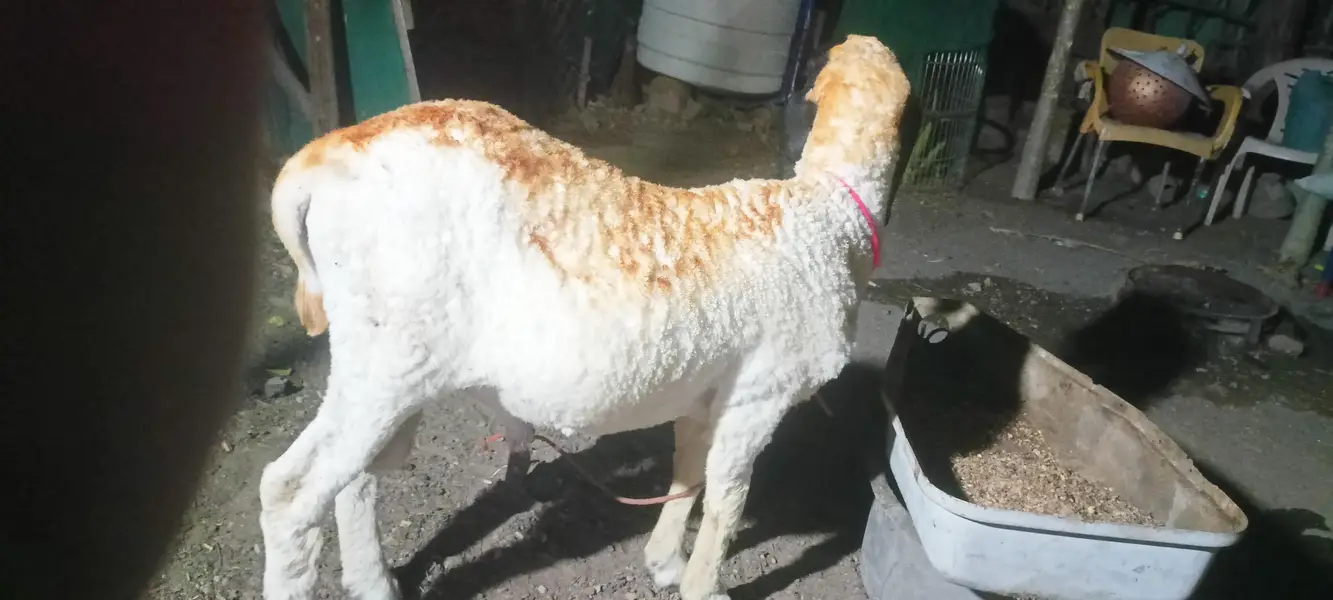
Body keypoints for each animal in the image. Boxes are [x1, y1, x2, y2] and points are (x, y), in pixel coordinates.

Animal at [260, 34, 909, 600]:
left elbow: (686, 475)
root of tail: (322, 156)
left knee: (356, 482)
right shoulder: (760, 393)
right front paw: (704, 586)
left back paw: (373, 583)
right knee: (289, 495)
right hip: (388, 360)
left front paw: (664, 564)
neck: (829, 215)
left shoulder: (707, 395)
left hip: (388, 369)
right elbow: (727, 501)